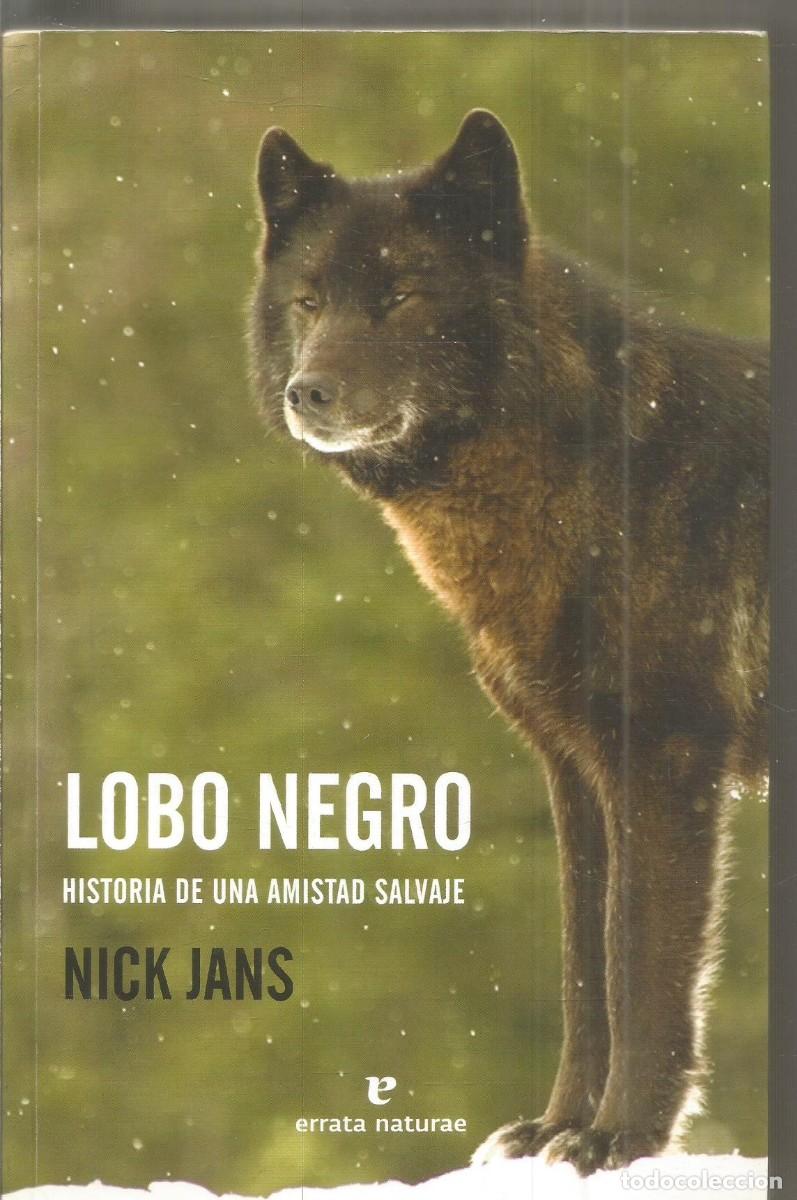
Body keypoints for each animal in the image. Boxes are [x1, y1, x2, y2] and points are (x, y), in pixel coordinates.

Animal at [248, 109, 768, 1176]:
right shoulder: (574, 771)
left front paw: (620, 1138)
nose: (306, 393)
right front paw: (556, 1129)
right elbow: (581, 964)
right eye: (309, 301)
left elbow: (637, 956)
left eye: (399, 295)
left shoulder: (662, 759)